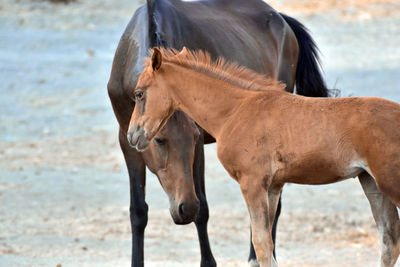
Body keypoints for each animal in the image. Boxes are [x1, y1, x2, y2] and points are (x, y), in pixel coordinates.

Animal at [108, 0, 330, 266]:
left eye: (193, 139)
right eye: (160, 140)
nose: (185, 209)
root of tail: (281, 19)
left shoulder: (199, 147)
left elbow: (203, 209)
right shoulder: (127, 142)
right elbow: (139, 211)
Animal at [128, 48, 400, 267]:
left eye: (139, 94)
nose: (132, 135)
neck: (235, 111)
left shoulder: (252, 183)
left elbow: (261, 245)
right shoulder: (273, 186)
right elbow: (268, 244)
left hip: (389, 182)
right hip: (371, 182)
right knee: (389, 241)